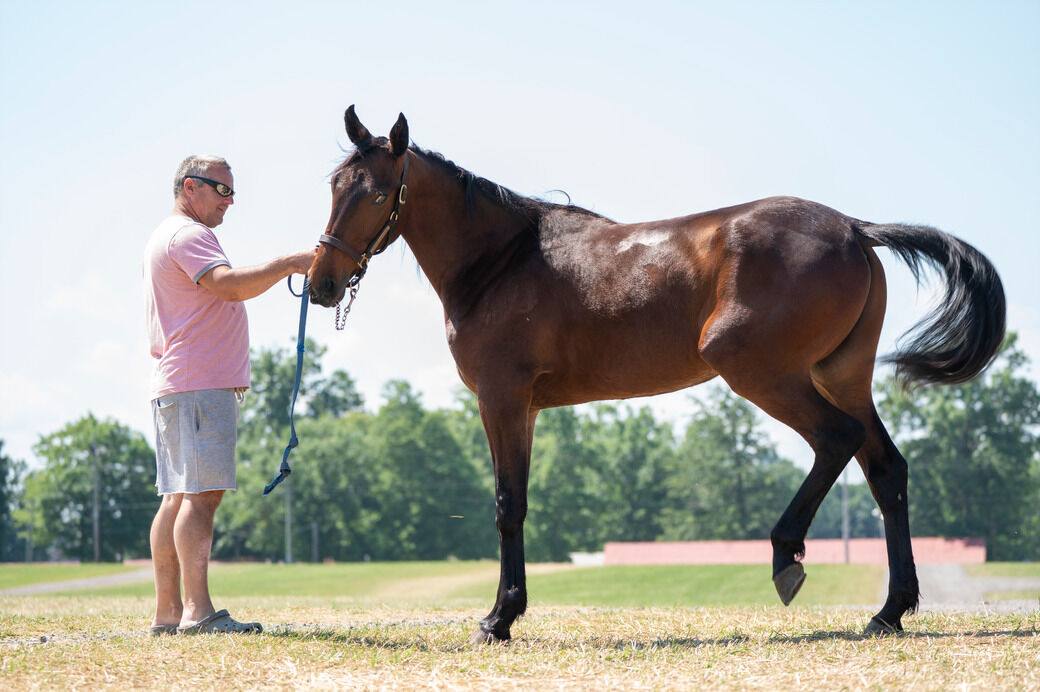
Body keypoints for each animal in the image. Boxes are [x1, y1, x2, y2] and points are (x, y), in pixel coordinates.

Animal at [307, 105, 1006, 641]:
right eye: (334, 189)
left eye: (377, 194)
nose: (321, 284)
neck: (502, 261)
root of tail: (855, 229)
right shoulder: (525, 409)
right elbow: (521, 502)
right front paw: (508, 611)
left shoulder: (501, 400)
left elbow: (509, 504)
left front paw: (499, 618)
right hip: (842, 377)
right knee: (886, 469)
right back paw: (889, 611)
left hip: (762, 371)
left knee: (837, 440)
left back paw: (787, 557)